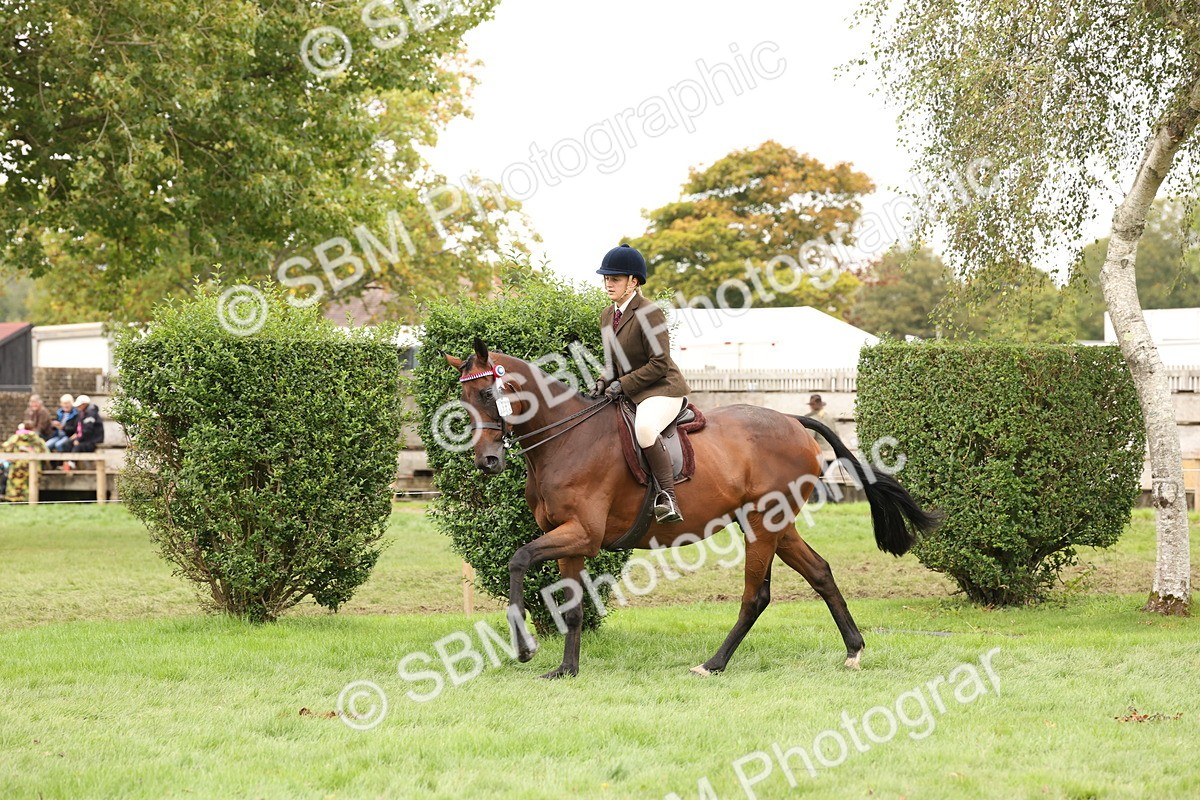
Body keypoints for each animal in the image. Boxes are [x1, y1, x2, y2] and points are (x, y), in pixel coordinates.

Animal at [444, 338, 939, 679]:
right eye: (463, 402)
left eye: (487, 396)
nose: (486, 461)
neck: (566, 440)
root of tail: (793, 420)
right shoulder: (571, 540)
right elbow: (571, 606)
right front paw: (566, 670)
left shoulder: (582, 533)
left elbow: (518, 558)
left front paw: (524, 647)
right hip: (778, 526)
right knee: (819, 572)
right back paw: (854, 649)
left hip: (762, 524)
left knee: (756, 595)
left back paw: (714, 663)